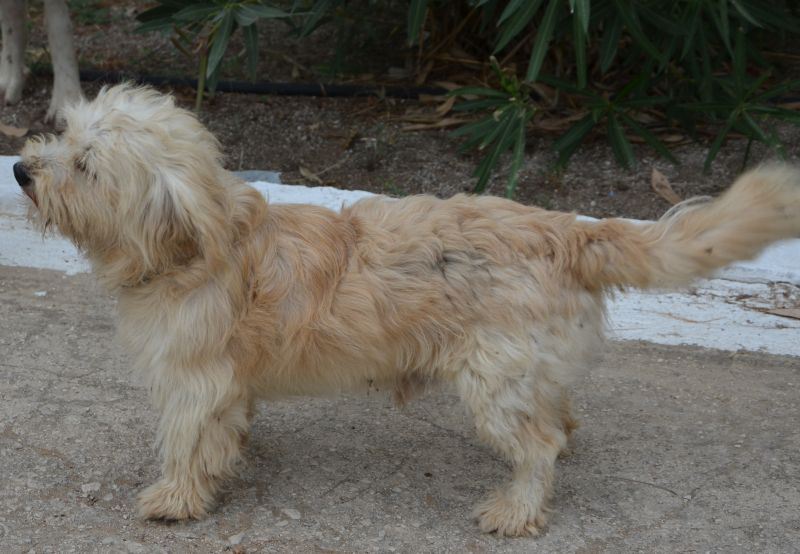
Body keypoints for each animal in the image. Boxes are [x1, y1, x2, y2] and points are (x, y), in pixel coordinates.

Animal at [14, 84, 800, 537]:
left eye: (86, 166)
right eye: (62, 135)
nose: (20, 168)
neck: (201, 242)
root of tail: (566, 228)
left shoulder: (192, 379)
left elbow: (183, 441)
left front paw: (177, 498)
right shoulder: (224, 382)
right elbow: (223, 429)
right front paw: (227, 459)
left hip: (493, 382)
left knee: (538, 445)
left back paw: (517, 509)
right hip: (528, 371)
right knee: (559, 420)